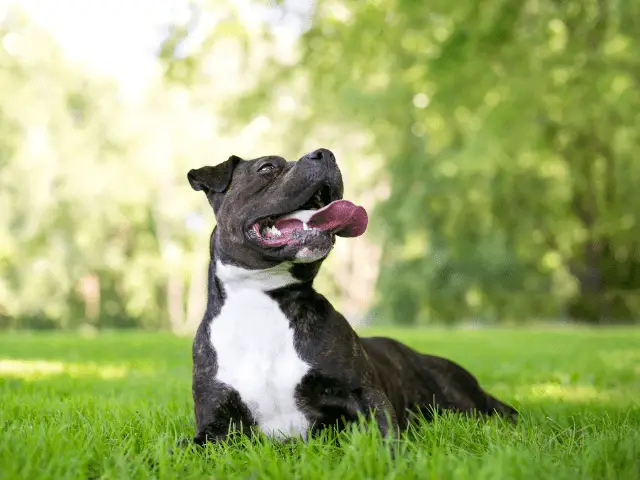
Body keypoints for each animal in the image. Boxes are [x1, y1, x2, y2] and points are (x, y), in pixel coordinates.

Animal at [185, 148, 516, 444]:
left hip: (463, 399)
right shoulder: (214, 427)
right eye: (266, 168)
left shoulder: (364, 395)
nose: (325, 153)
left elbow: (386, 437)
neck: (262, 299)